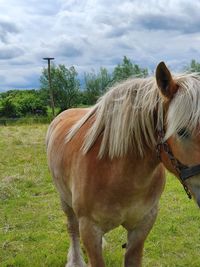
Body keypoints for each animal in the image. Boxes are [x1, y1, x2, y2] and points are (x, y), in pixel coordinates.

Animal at [45, 61, 200, 266]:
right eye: (182, 131)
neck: (117, 172)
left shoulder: (142, 226)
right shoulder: (89, 229)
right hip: (64, 198)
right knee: (72, 227)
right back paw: (75, 260)